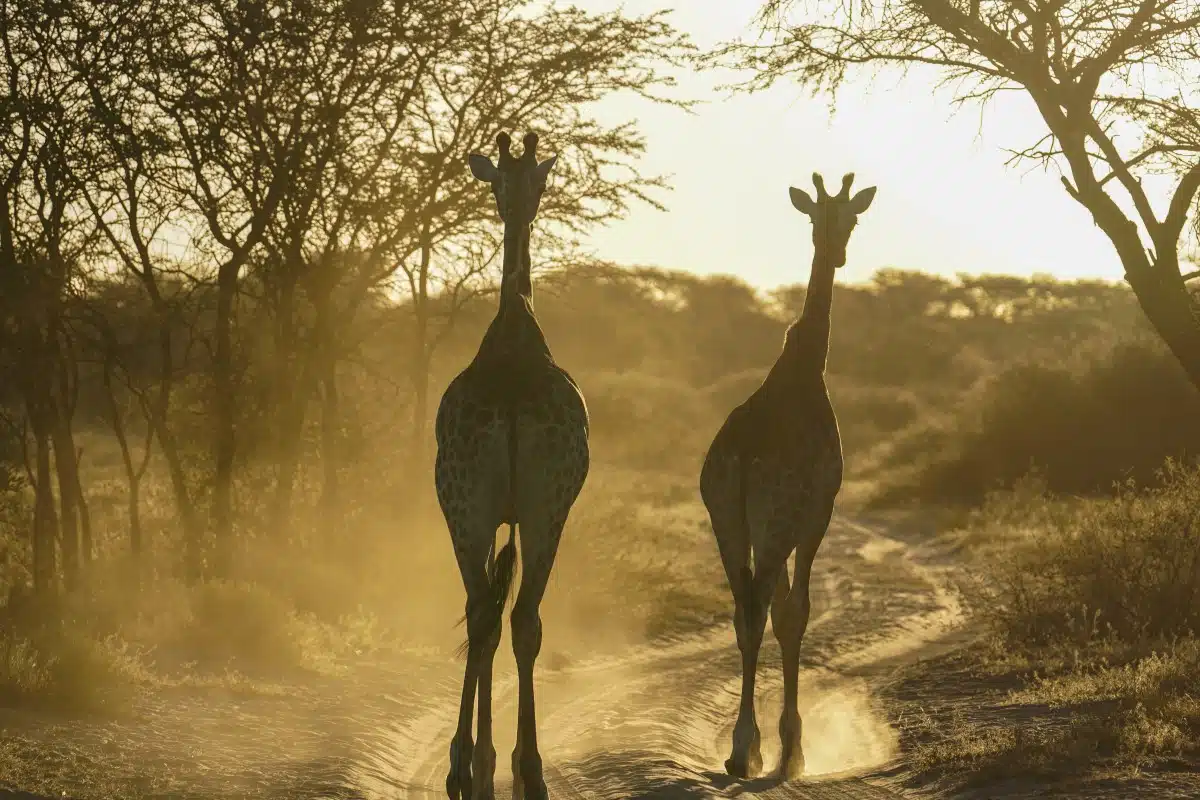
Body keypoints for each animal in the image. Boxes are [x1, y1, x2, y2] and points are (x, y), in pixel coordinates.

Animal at [699, 172, 875, 781]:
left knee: (742, 609)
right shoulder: (817, 511)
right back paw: (747, 748)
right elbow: (796, 612)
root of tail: (744, 457)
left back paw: (742, 749)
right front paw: (791, 749)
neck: (806, 366)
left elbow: (778, 611)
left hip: (727, 519)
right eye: (826, 218)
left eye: (850, 218)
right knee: (757, 606)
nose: (838, 250)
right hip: (774, 521)